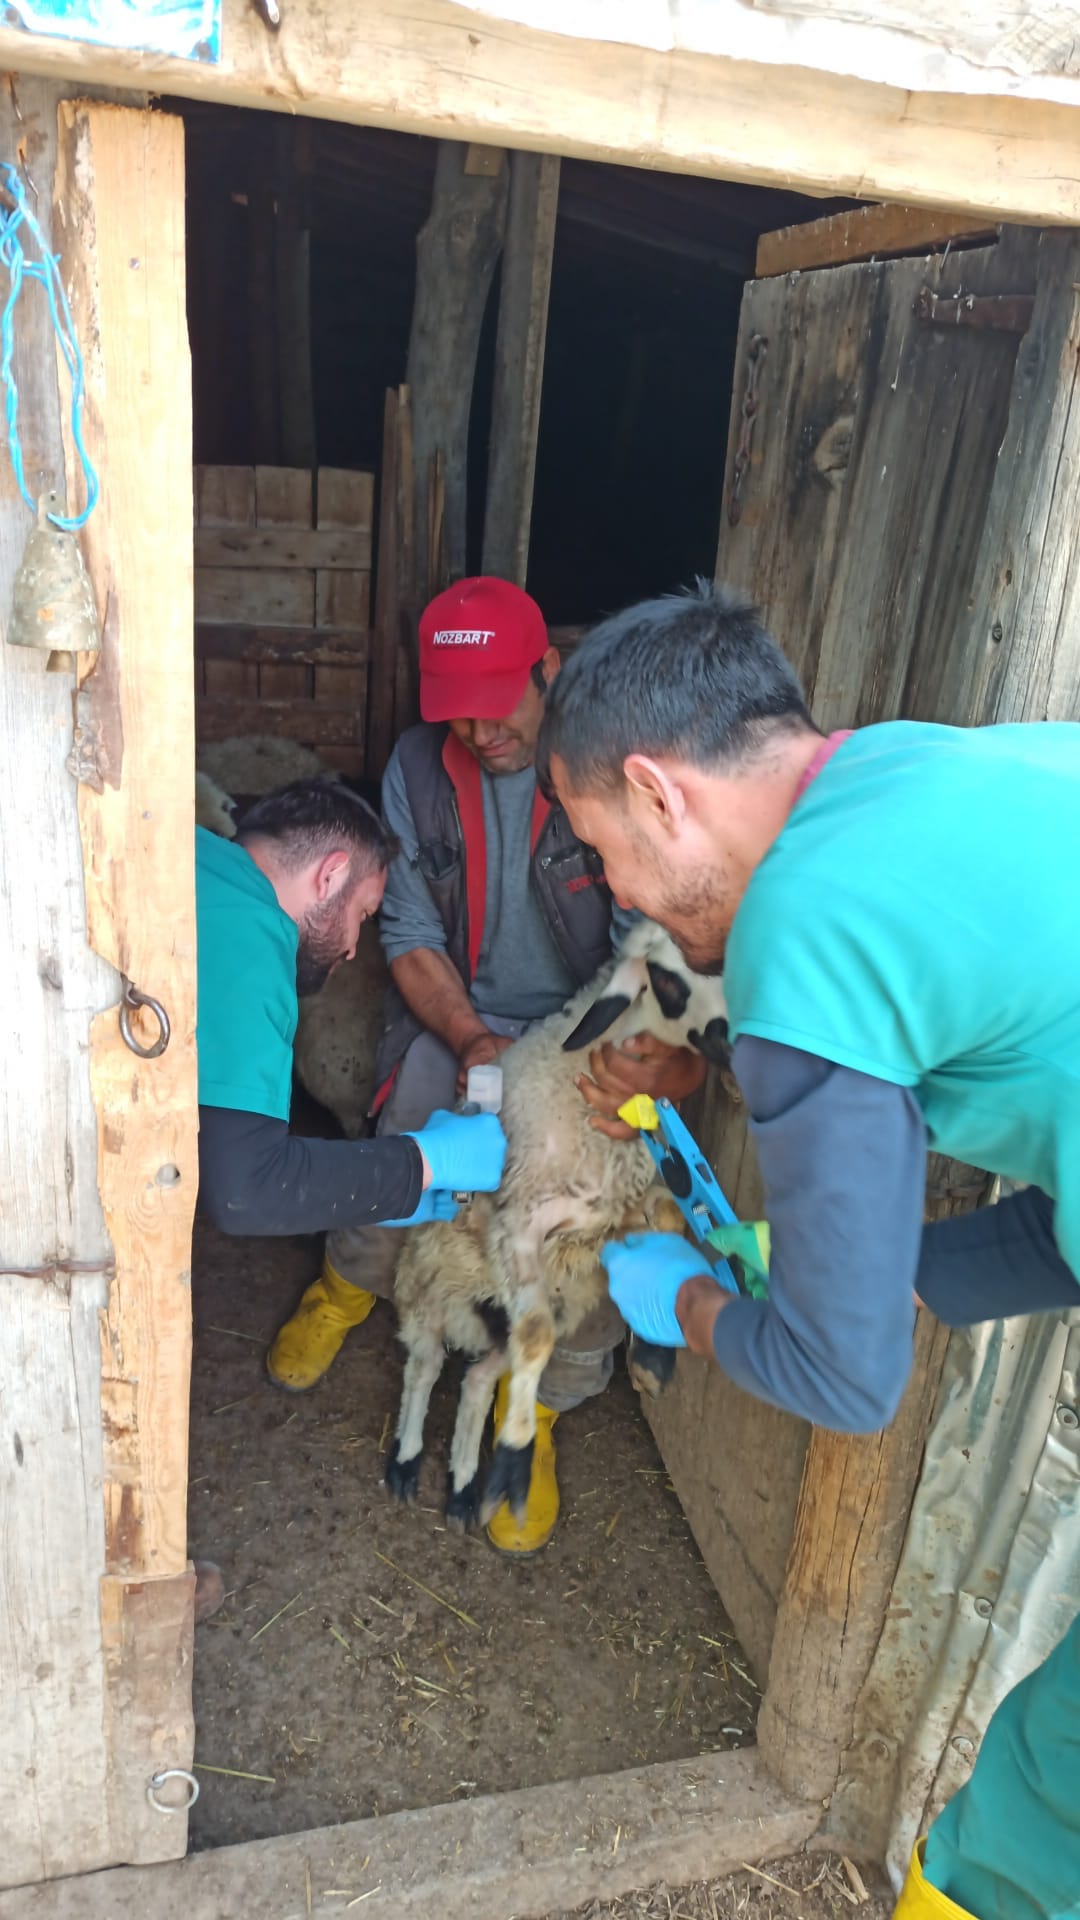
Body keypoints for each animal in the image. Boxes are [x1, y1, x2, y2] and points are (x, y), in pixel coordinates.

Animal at [382, 921, 726, 1536]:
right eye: (668, 979)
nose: (729, 1041)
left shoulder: (610, 1217)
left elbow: (671, 1222)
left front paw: (655, 1354)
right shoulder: (521, 1224)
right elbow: (537, 1339)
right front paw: (515, 1457)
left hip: (530, 1310)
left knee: (478, 1381)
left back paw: (464, 1487)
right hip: (427, 1289)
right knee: (425, 1367)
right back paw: (406, 1460)